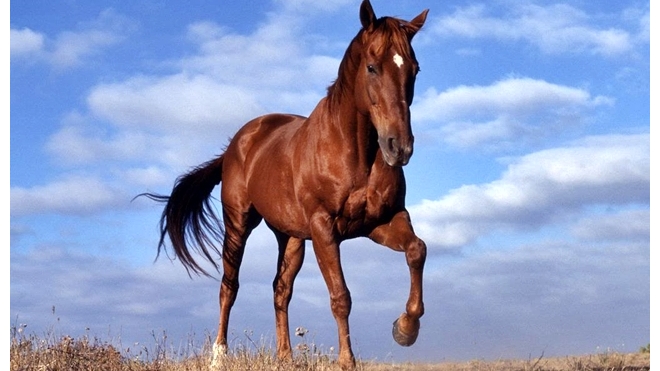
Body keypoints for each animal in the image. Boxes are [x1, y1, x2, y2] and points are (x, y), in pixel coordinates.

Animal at [142, 1, 430, 370]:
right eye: (371, 67)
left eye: (414, 69)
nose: (399, 147)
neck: (354, 153)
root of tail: (236, 145)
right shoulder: (324, 228)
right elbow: (341, 296)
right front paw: (347, 361)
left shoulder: (381, 222)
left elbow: (417, 250)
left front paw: (405, 329)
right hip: (238, 224)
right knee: (229, 287)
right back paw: (219, 356)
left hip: (290, 237)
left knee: (280, 290)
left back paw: (285, 356)